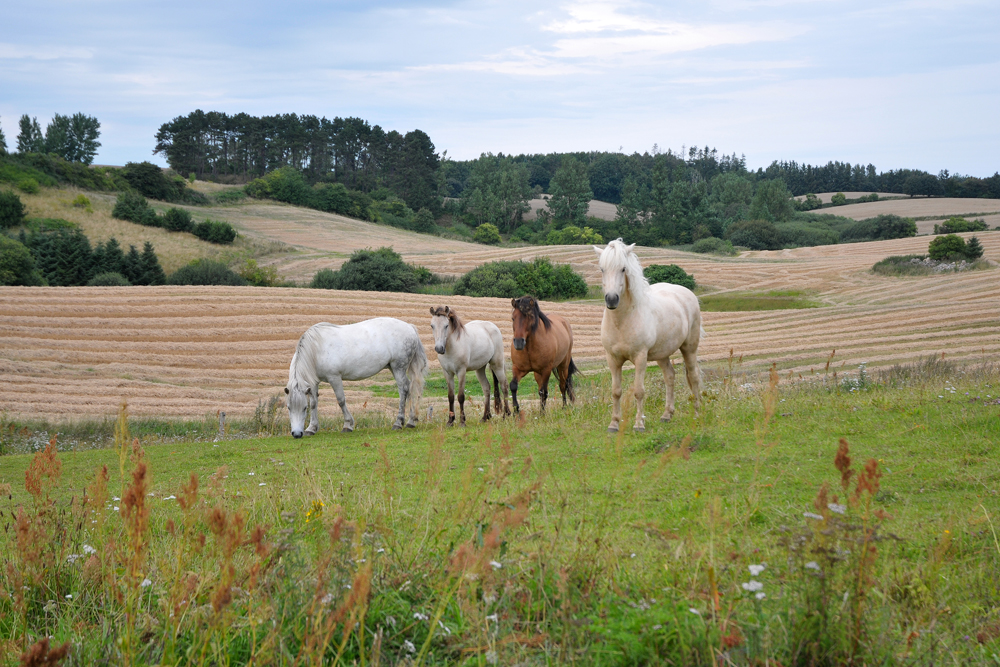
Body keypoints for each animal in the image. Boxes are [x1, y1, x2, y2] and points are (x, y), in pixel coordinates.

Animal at [284, 318, 428, 438]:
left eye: (304, 408)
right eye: (289, 408)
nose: (297, 434)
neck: (316, 349)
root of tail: (410, 327)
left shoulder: (334, 377)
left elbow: (341, 400)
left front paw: (348, 425)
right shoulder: (313, 383)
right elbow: (314, 403)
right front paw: (311, 428)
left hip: (398, 367)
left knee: (403, 389)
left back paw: (398, 422)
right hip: (394, 368)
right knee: (409, 388)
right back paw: (410, 421)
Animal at [592, 240, 704, 434]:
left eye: (623, 269)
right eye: (602, 269)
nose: (612, 300)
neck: (622, 321)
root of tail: (688, 293)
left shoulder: (640, 358)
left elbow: (639, 391)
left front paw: (639, 424)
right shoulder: (612, 359)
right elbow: (616, 391)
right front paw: (614, 424)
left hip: (689, 348)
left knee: (693, 376)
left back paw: (696, 414)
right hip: (662, 354)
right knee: (670, 376)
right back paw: (667, 415)